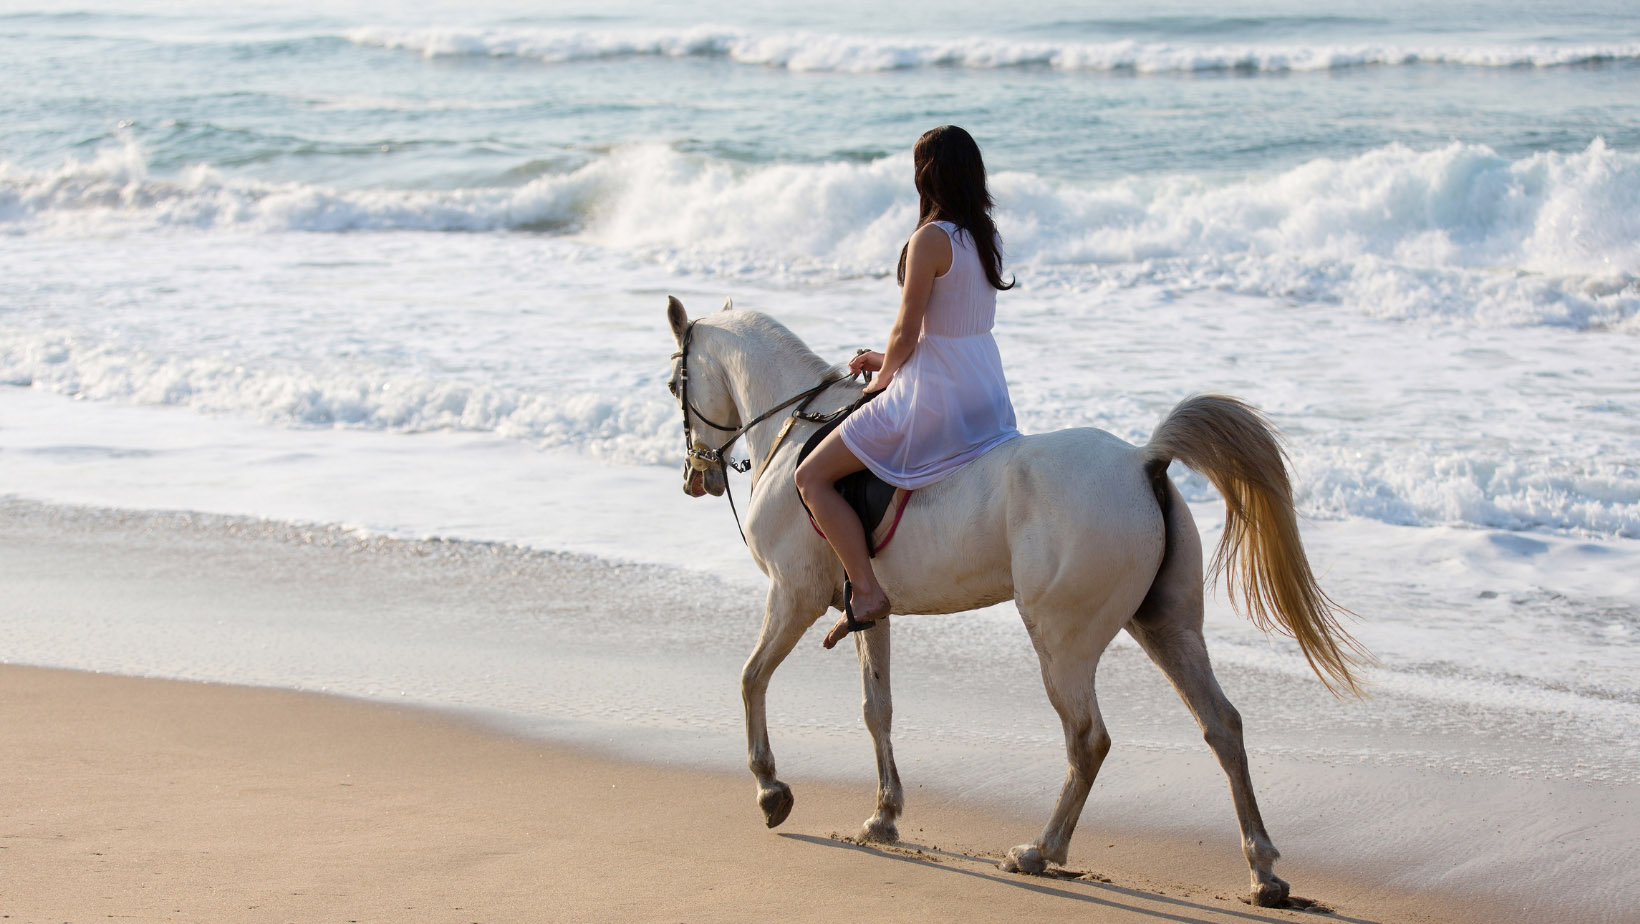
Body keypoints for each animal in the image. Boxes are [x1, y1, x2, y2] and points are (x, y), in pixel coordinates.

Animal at [659, 300, 1364, 905]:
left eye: (673, 387)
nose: (697, 477)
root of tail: (1144, 461)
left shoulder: (793, 595)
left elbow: (751, 678)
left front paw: (770, 789)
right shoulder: (868, 612)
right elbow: (876, 709)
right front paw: (883, 816)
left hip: (1061, 640)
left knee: (1088, 739)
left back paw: (1040, 851)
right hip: (1166, 627)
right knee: (1222, 725)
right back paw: (1264, 872)